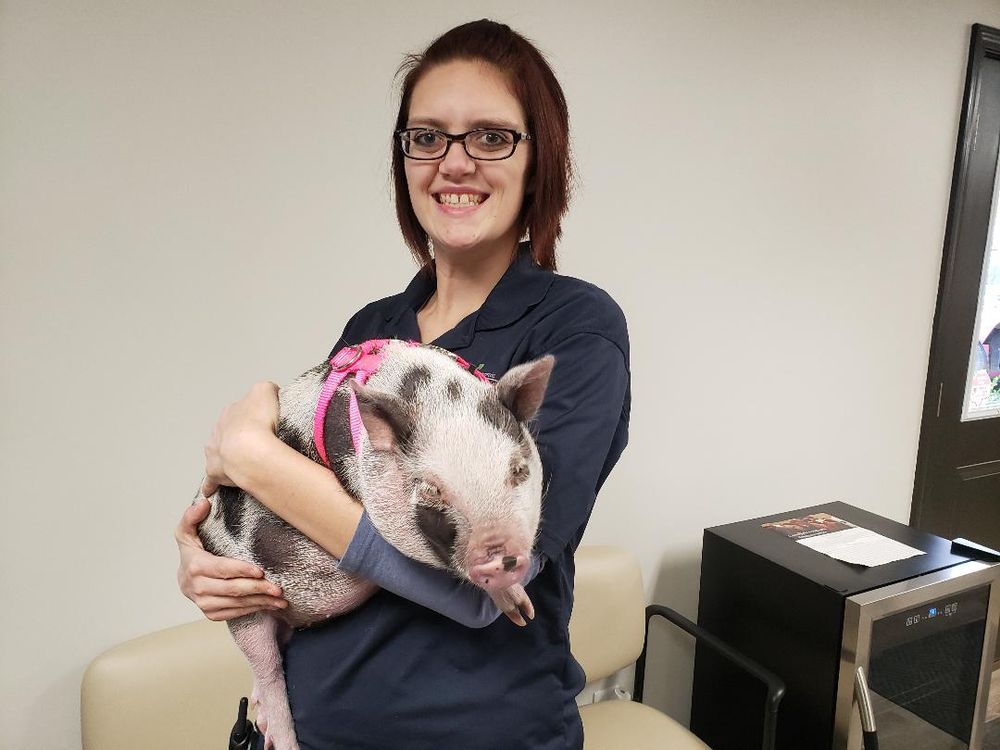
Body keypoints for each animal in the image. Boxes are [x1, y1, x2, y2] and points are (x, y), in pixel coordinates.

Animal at [197, 339, 554, 750]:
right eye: (431, 490)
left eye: (518, 470)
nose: (498, 556)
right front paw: (520, 610)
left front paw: (523, 613)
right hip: (244, 601)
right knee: (267, 666)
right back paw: (282, 739)